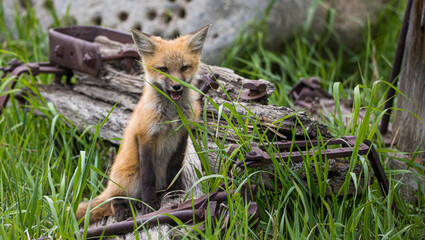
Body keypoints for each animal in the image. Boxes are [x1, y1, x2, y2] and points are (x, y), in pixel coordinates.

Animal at [76, 24, 210, 223]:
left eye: (184, 67)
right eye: (163, 69)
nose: (177, 86)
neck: (171, 115)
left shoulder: (182, 133)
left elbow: (174, 165)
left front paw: (176, 190)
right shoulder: (145, 136)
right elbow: (148, 176)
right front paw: (149, 204)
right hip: (129, 179)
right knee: (114, 200)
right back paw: (125, 210)